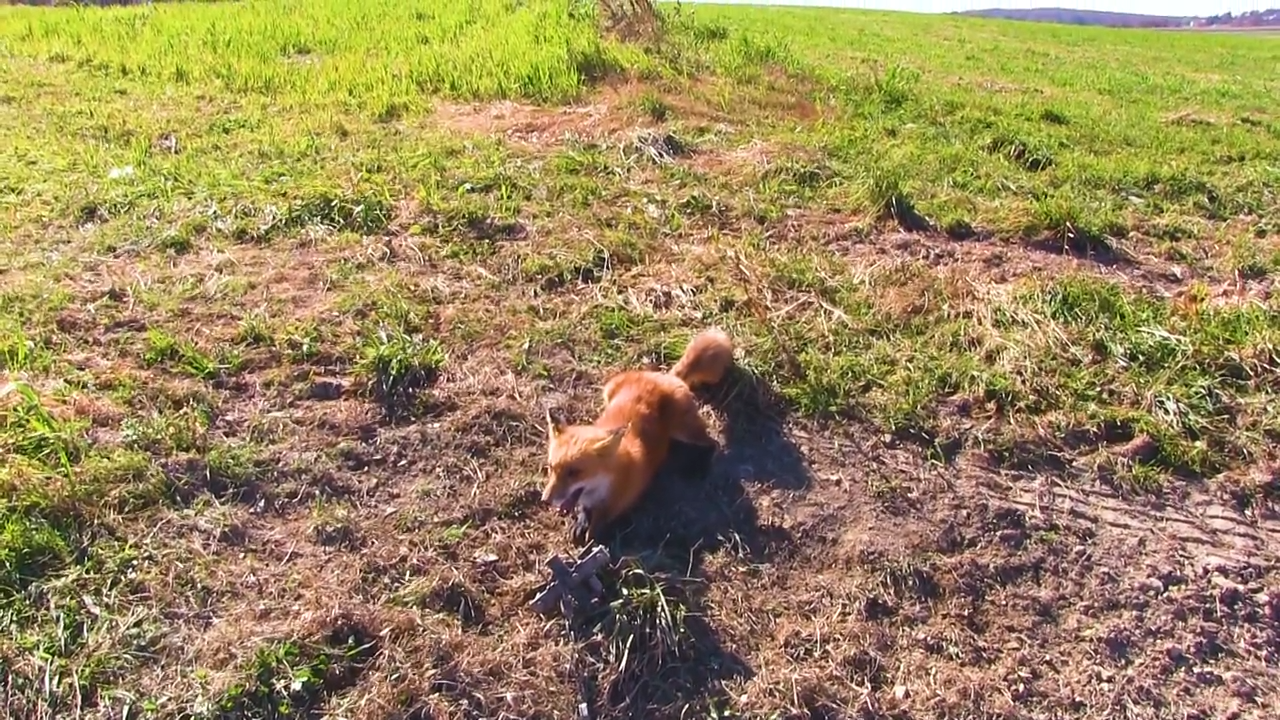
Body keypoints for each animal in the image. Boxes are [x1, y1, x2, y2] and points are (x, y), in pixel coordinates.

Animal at [542, 328, 734, 545]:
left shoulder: (616, 505)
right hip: (608, 391)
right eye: (551, 468)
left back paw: (699, 467)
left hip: (682, 429)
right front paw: (582, 521)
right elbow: (585, 509)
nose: (545, 500)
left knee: (712, 443)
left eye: (574, 473)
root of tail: (664, 377)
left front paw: (593, 533)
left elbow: (600, 524)